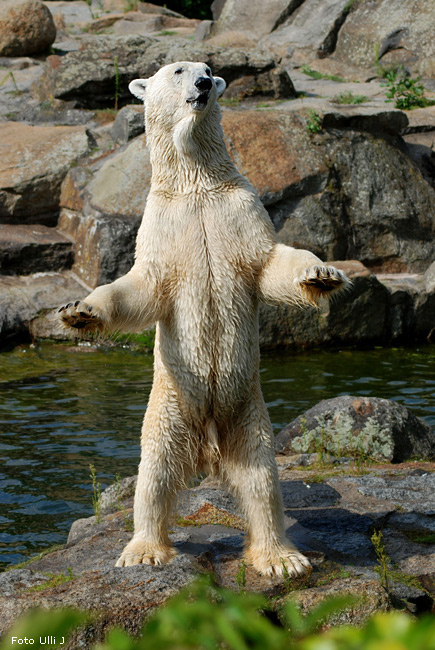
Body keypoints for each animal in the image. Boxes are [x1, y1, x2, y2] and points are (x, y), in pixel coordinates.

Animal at [58, 62, 350, 572]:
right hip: (171, 406)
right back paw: (143, 550)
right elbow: (142, 287)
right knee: (153, 474)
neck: (196, 184)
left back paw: (281, 558)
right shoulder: (162, 225)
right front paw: (80, 311)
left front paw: (322, 274)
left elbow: (271, 264)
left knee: (260, 477)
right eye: (180, 70)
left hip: (247, 412)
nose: (202, 84)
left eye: (210, 72)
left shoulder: (240, 210)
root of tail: (208, 450)